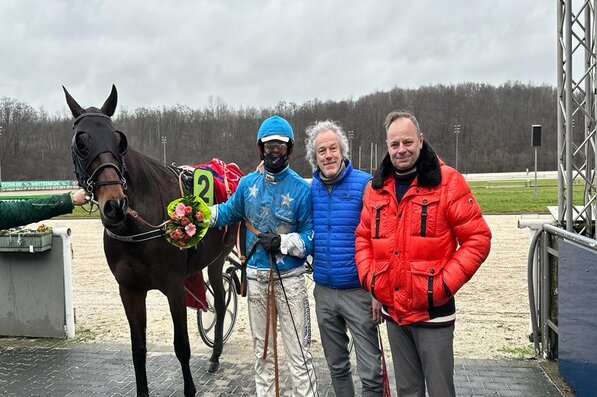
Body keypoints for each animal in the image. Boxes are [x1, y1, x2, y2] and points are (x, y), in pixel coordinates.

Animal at [62, 85, 235, 394]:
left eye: (119, 140)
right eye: (81, 143)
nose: (115, 205)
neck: (136, 228)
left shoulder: (174, 286)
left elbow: (182, 346)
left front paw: (190, 389)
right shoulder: (130, 290)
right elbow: (138, 349)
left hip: (218, 258)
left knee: (220, 301)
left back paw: (215, 355)